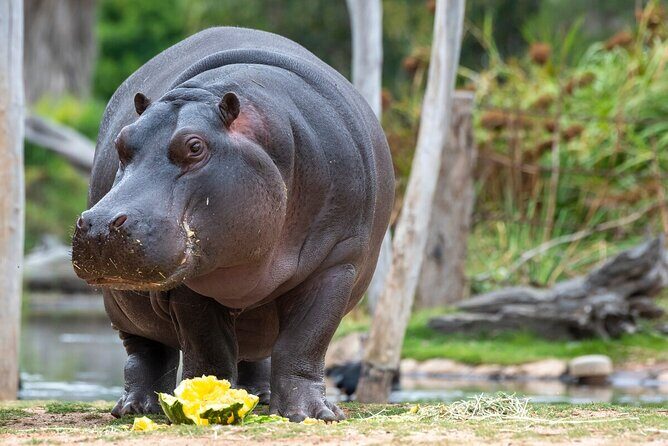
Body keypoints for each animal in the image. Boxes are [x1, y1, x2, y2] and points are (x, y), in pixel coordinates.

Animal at [71, 27, 393, 422]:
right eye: (121, 141)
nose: (99, 224)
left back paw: (261, 397)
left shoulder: (337, 263)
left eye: (195, 146)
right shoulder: (190, 284)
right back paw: (136, 407)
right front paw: (207, 401)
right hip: (123, 307)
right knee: (146, 351)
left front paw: (312, 414)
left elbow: (306, 341)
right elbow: (208, 345)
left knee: (256, 350)